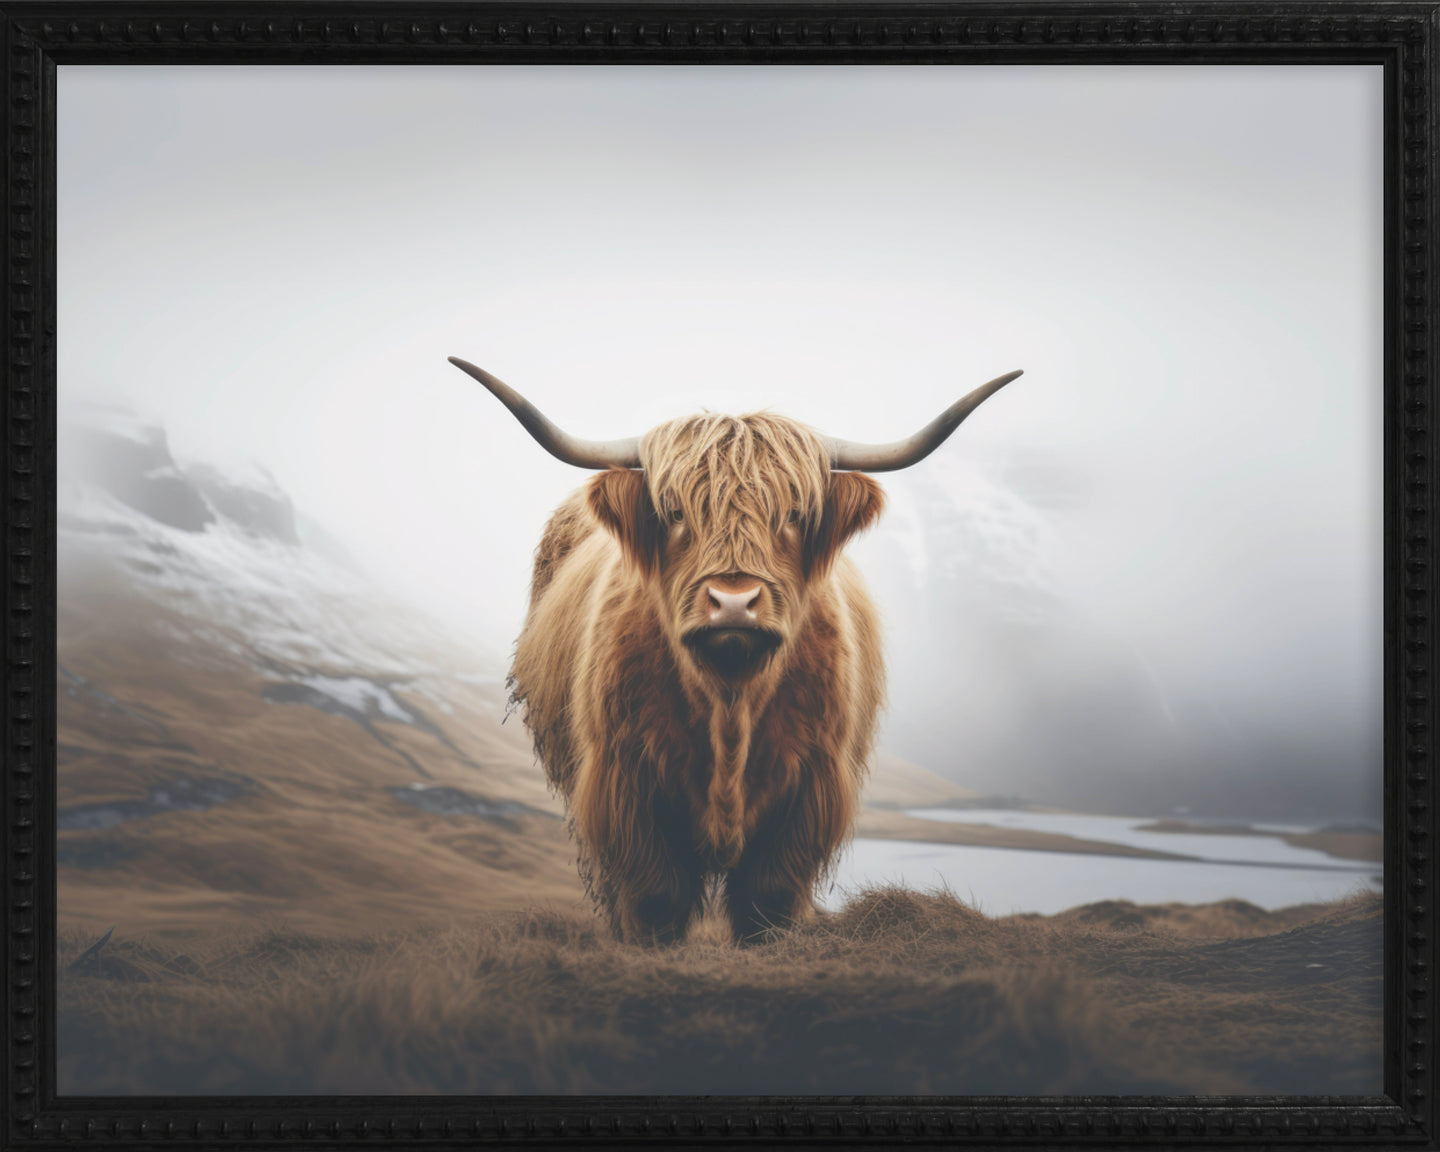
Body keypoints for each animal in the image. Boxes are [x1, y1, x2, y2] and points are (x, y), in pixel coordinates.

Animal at [449, 357, 1021, 945]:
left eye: (793, 514)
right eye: (675, 512)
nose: (733, 603)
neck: (730, 701)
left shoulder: (809, 792)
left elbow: (766, 902)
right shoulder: (623, 784)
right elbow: (656, 899)